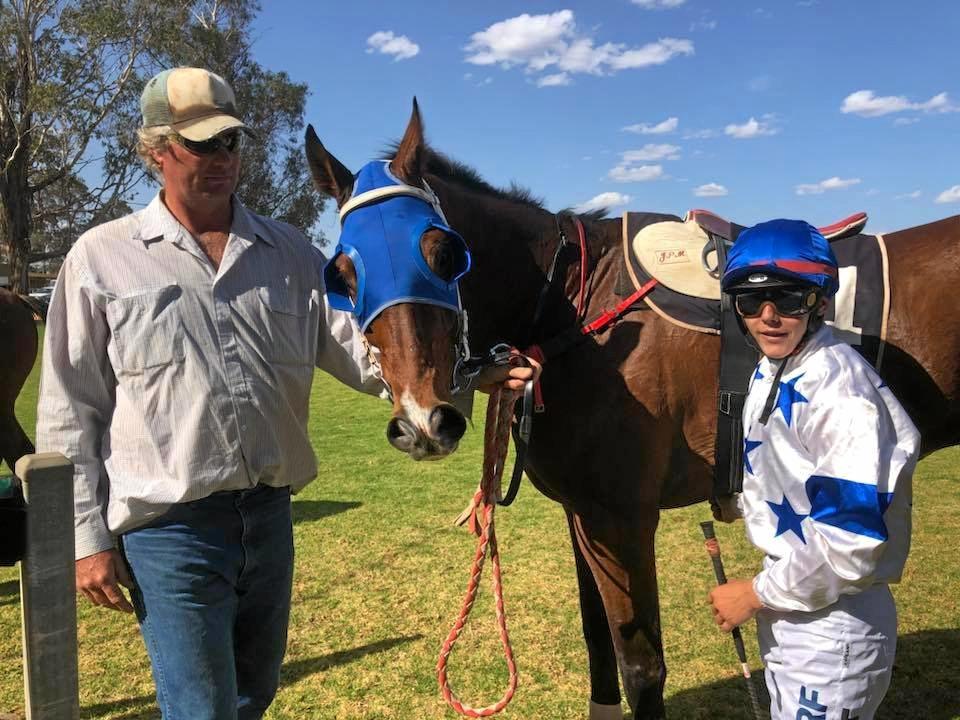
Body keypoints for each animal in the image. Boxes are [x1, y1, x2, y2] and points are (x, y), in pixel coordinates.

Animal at [306, 102, 960, 720]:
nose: (422, 423)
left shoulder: (622, 519)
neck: (574, 306)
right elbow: (599, 640)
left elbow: (641, 666)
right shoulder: (585, 516)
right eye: (343, 273)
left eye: (444, 254)